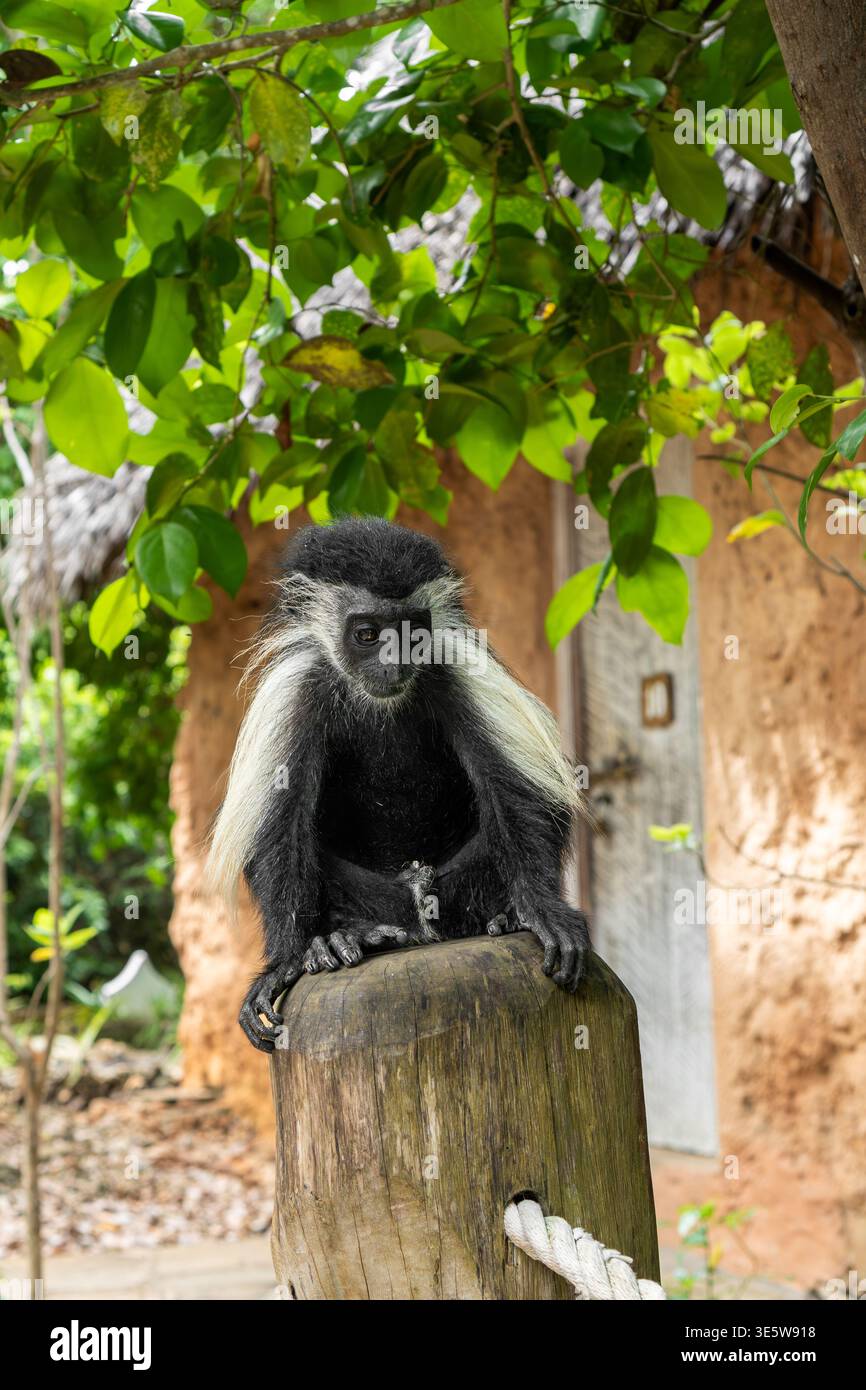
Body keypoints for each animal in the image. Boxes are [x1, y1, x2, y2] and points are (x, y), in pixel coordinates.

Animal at [207, 517, 590, 1052]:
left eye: (412, 632)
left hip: (458, 886)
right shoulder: (296, 691)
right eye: (368, 634)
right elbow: (277, 827)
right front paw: (286, 962)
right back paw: (343, 940)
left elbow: (516, 787)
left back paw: (503, 917)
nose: (395, 662)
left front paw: (542, 912)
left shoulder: (457, 670)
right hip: (374, 897)